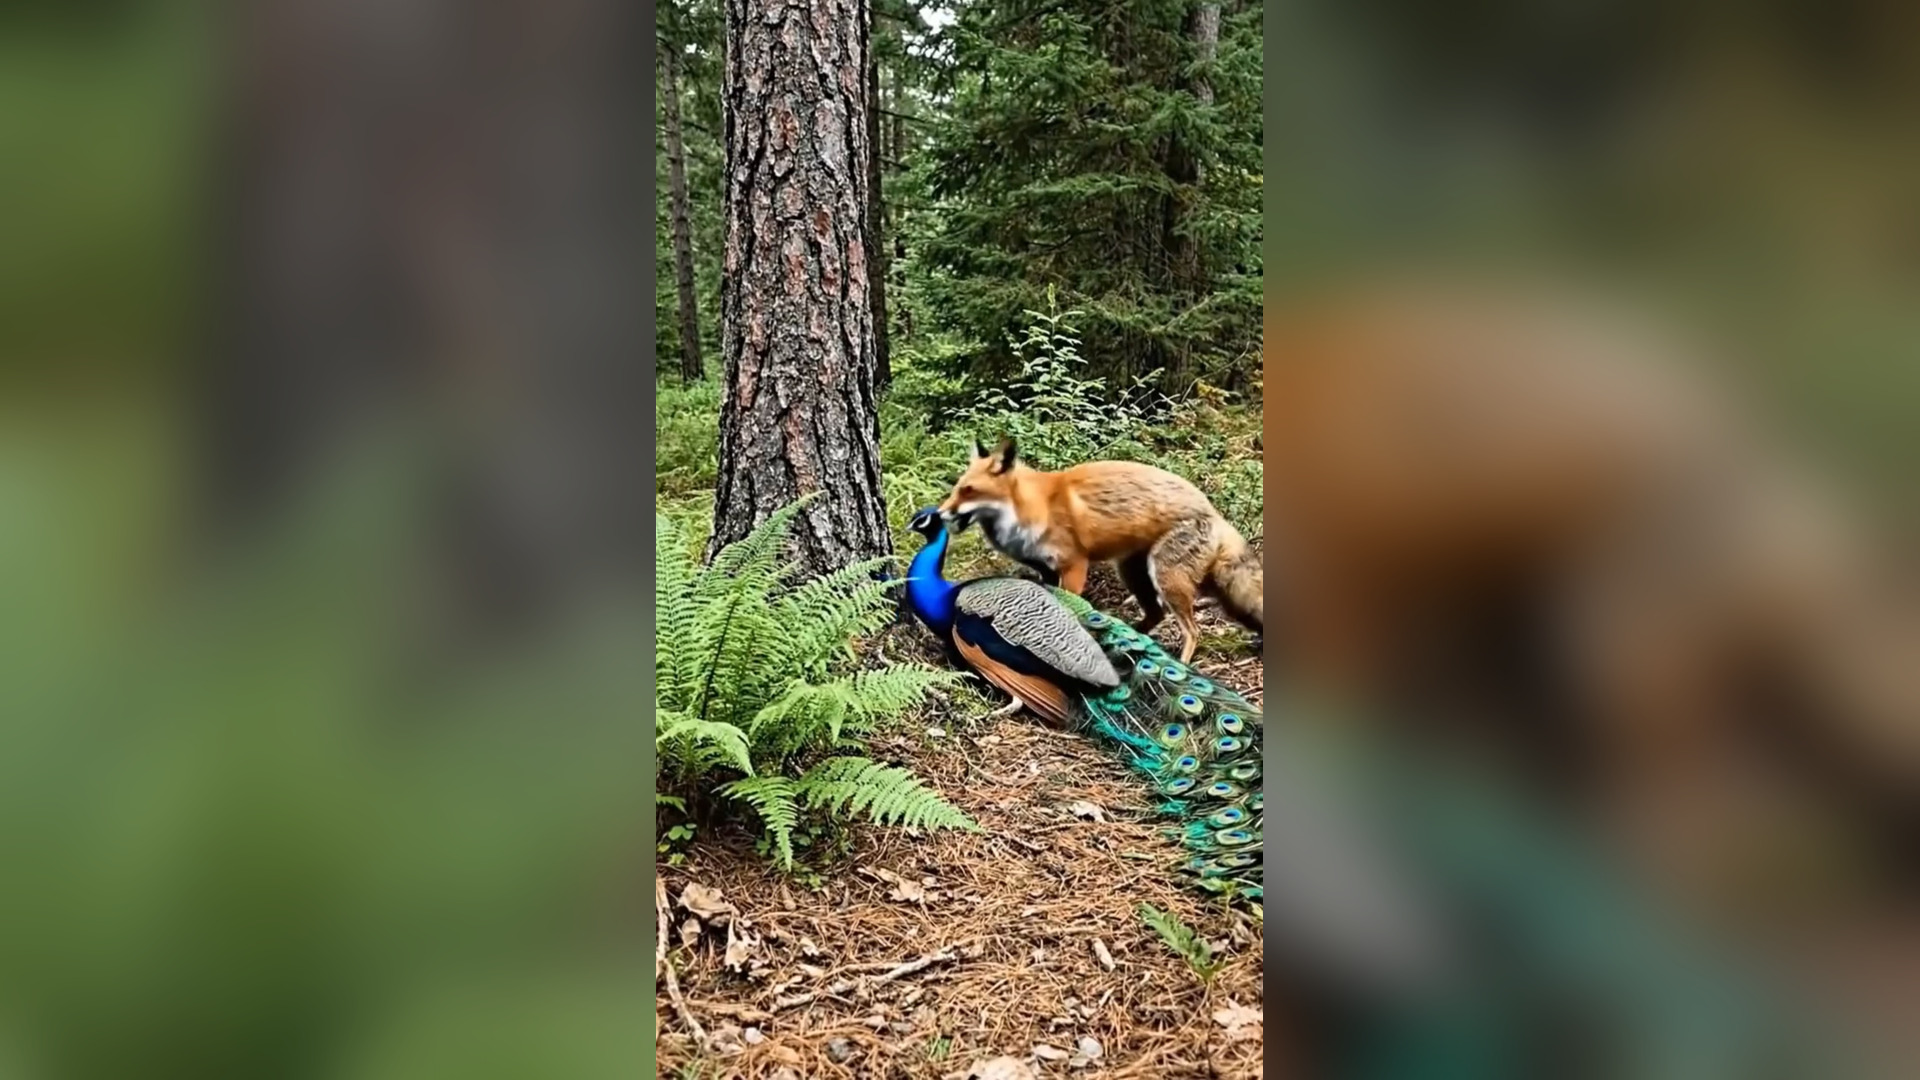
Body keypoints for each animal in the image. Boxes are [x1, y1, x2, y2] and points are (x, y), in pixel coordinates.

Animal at [936, 437, 1263, 663]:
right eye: (956, 488)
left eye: (968, 491)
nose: (939, 513)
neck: (1030, 509)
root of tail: (1214, 511)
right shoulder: (1045, 569)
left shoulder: (1074, 565)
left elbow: (1070, 605)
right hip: (1133, 574)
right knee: (1156, 615)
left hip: (1166, 579)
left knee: (1192, 631)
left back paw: (1180, 662)